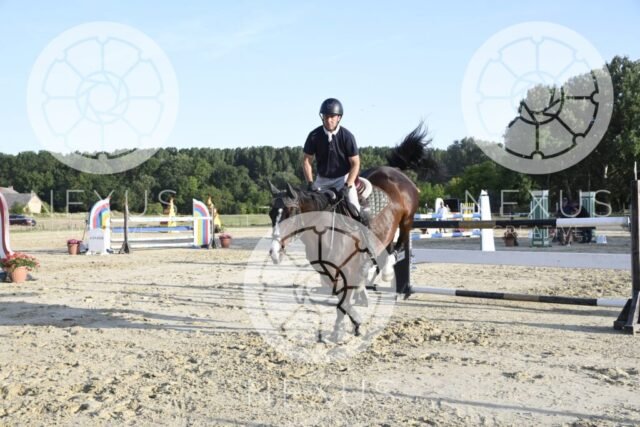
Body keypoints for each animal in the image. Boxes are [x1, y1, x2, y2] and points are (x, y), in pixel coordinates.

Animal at [268, 123, 430, 340]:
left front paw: (342, 329)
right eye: (270, 214)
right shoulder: (327, 270)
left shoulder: (347, 267)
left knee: (400, 242)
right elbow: (339, 297)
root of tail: (396, 172)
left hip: (407, 219)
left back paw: (387, 271)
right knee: (382, 249)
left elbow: (344, 297)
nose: (274, 252)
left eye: (290, 212)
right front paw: (351, 322)